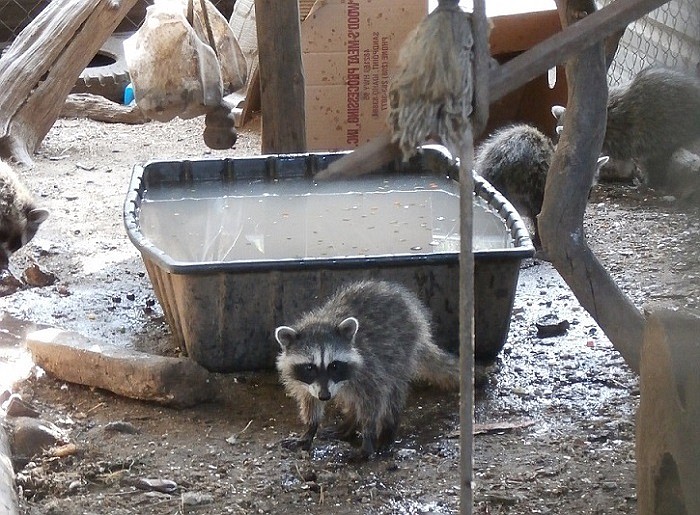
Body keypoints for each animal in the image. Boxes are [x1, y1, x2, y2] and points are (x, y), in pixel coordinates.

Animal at [274, 280, 460, 458]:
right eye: (310, 367)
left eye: (334, 365)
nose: (325, 396)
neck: (324, 321)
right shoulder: (306, 383)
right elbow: (309, 400)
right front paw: (310, 428)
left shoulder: (370, 369)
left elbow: (374, 401)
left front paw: (368, 437)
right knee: (351, 398)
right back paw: (349, 423)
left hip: (403, 352)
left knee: (392, 393)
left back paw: (387, 429)